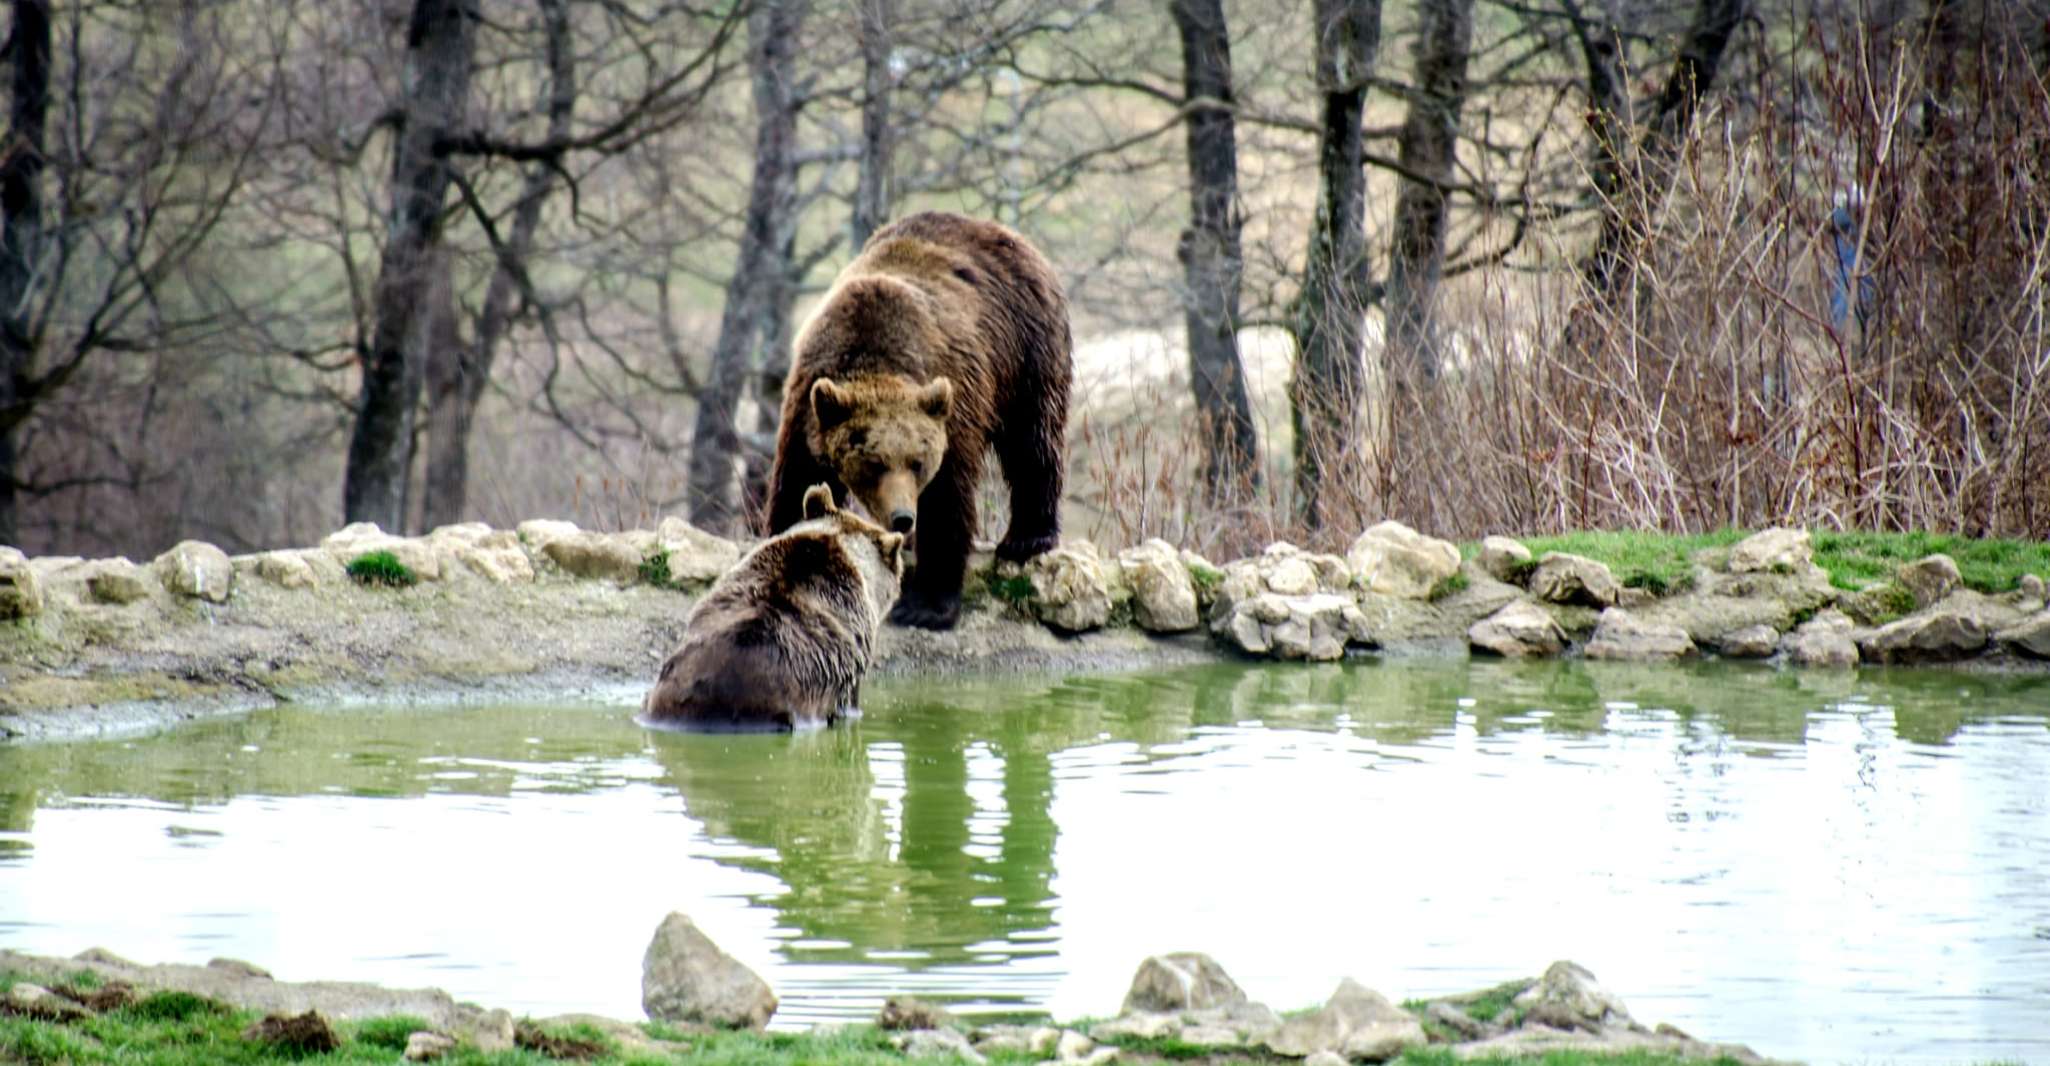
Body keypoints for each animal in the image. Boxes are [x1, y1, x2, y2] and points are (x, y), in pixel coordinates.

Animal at [758, 211, 1074, 627]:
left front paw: (925, 604)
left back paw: (1027, 538)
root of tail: (1006, 235)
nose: (903, 518)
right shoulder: (809, 400)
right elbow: (798, 478)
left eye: (917, 462)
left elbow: (948, 496)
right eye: (873, 463)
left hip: (1026, 348)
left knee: (1033, 438)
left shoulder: (953, 404)